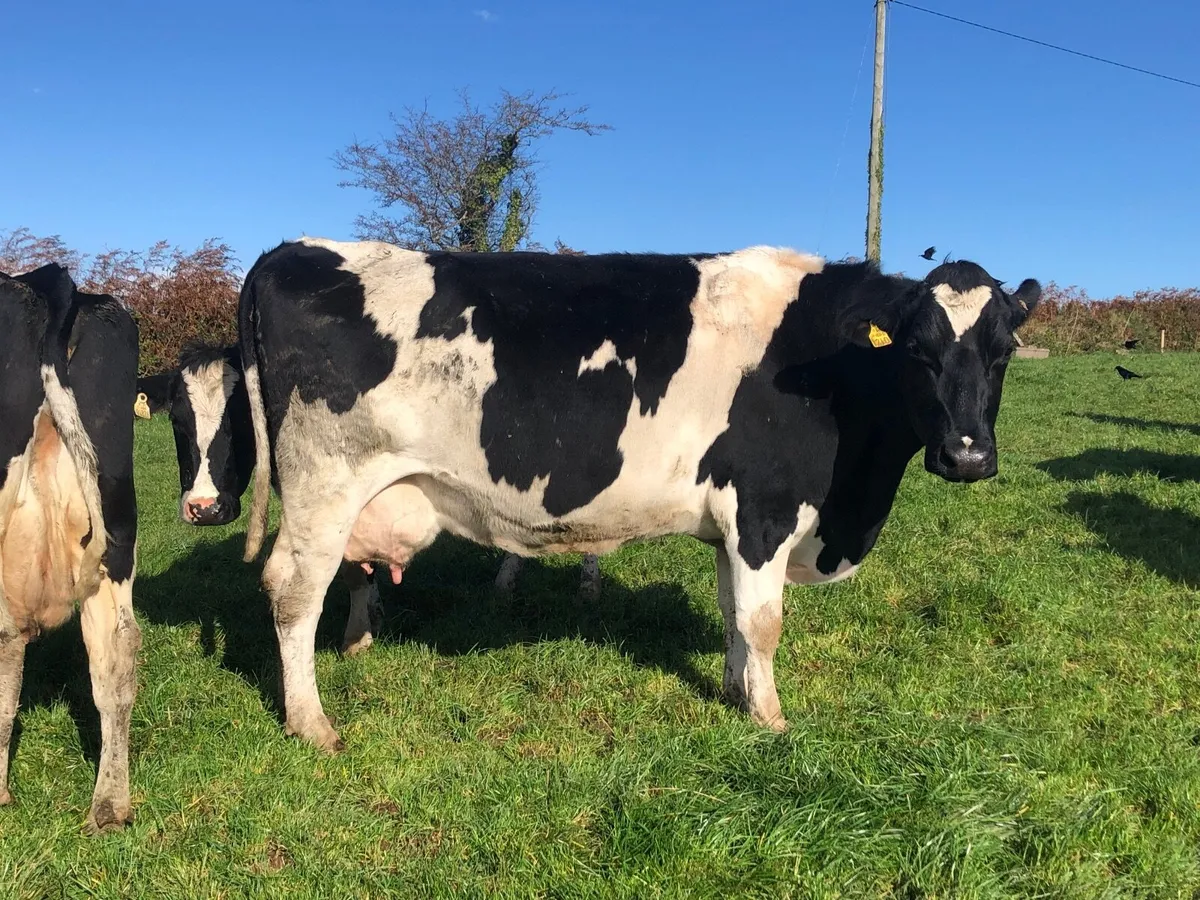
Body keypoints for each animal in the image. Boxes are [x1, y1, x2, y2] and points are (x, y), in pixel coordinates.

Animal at [229, 238, 1038, 752]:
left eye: (1004, 353)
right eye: (919, 352)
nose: (968, 455)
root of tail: (292, 248)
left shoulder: (732, 523)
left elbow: (733, 614)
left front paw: (735, 693)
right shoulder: (767, 509)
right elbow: (764, 622)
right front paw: (771, 718)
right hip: (326, 483)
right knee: (294, 591)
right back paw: (311, 724)